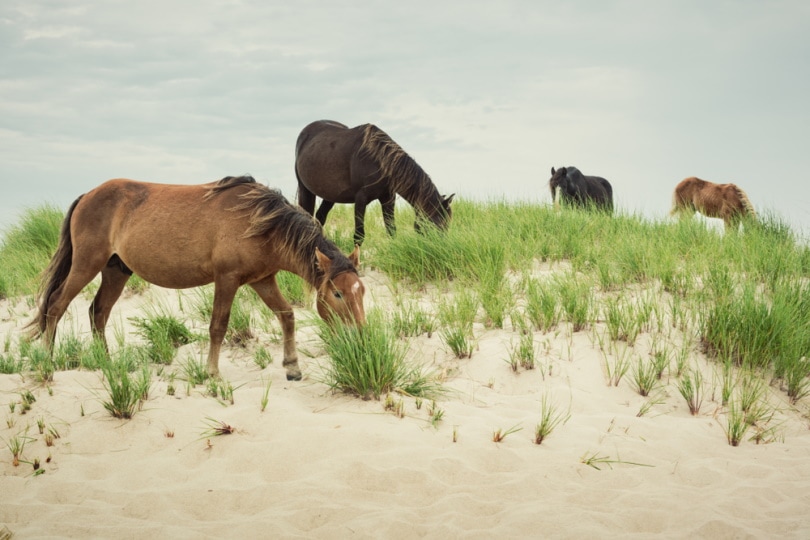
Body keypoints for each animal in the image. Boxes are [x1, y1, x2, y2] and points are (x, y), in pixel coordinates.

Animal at [26, 176, 366, 380]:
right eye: (337, 294)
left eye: (361, 292)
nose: (361, 336)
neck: (261, 222)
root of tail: (88, 195)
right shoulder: (227, 279)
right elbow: (218, 326)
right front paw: (212, 373)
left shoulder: (263, 279)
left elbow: (286, 316)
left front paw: (292, 367)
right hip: (86, 264)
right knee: (56, 305)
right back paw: (47, 364)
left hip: (115, 271)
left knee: (98, 312)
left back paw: (107, 365)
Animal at [294, 119, 454, 245]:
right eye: (436, 224)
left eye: (447, 224)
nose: (440, 248)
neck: (378, 160)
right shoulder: (361, 199)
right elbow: (359, 235)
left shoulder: (388, 198)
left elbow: (391, 230)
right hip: (305, 189)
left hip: (330, 195)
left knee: (320, 217)